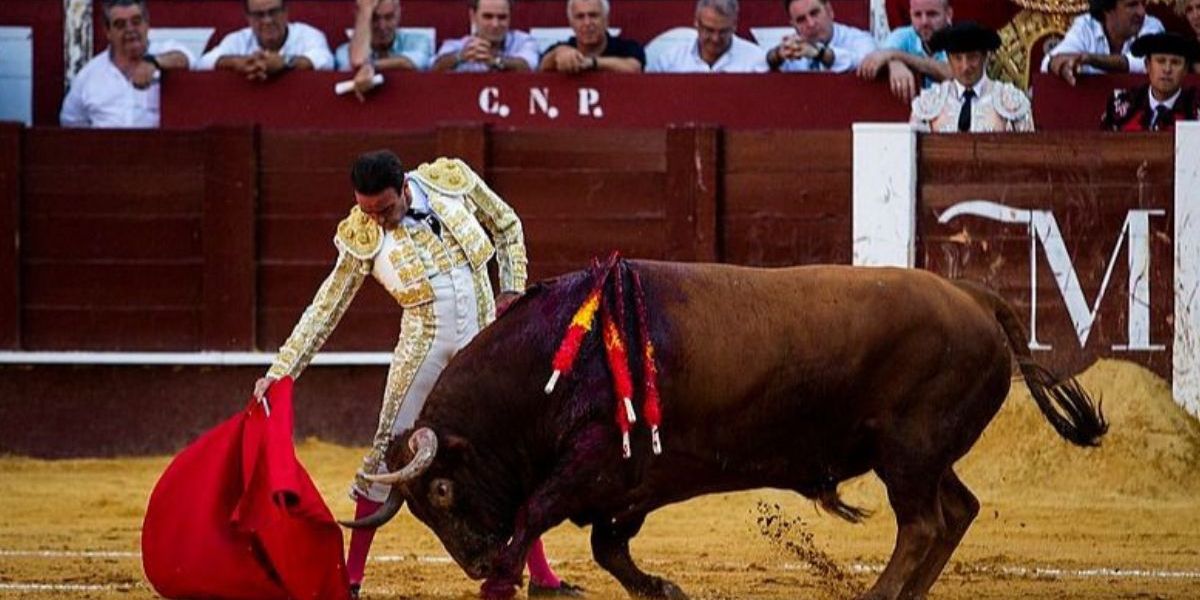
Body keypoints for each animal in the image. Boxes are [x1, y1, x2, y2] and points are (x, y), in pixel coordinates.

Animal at [352, 261, 1104, 600]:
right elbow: (606, 547)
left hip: (908, 453)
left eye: (441, 492)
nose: (476, 563)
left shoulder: (595, 463)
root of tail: (974, 297)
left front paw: (504, 580)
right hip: (924, 455)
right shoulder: (633, 484)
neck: (557, 359)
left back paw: (880, 595)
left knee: (922, 523)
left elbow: (536, 513)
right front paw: (661, 589)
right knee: (958, 511)